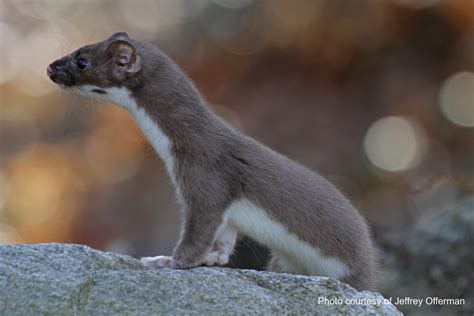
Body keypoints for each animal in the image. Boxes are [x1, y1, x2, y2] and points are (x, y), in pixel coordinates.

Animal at [48, 32, 378, 292]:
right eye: (78, 49)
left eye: (81, 60)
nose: (50, 67)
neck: (172, 151)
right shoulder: (225, 209)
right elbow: (223, 241)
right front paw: (210, 259)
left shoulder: (205, 178)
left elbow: (198, 232)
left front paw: (165, 261)